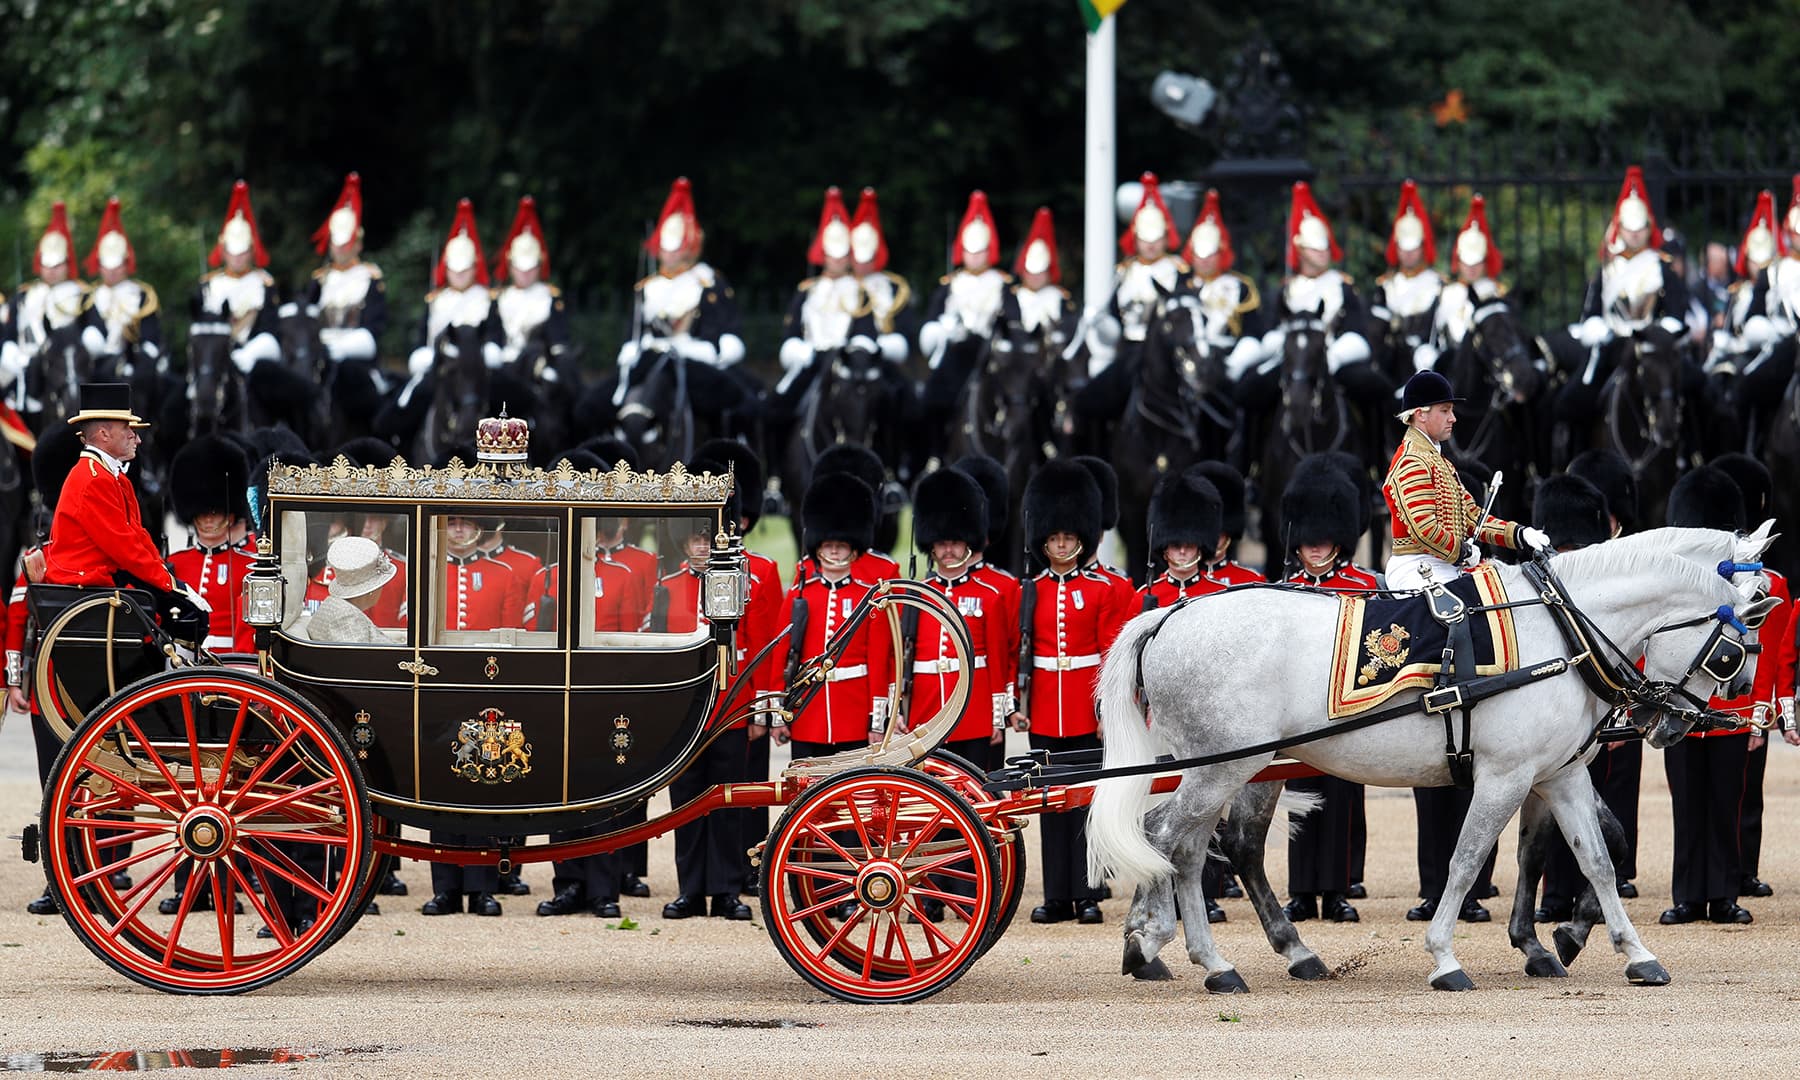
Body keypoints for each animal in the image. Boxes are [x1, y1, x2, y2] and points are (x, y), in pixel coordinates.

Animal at [1080, 525, 1771, 993]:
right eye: (1733, 654)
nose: (1678, 725)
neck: (1562, 628)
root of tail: (1171, 614)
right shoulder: (1505, 777)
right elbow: (1466, 861)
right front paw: (1446, 956)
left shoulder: (1561, 775)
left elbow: (1598, 859)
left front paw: (1630, 953)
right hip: (1220, 766)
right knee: (1179, 843)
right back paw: (1202, 959)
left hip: (1241, 767)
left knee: (1202, 842)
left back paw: (1214, 950)